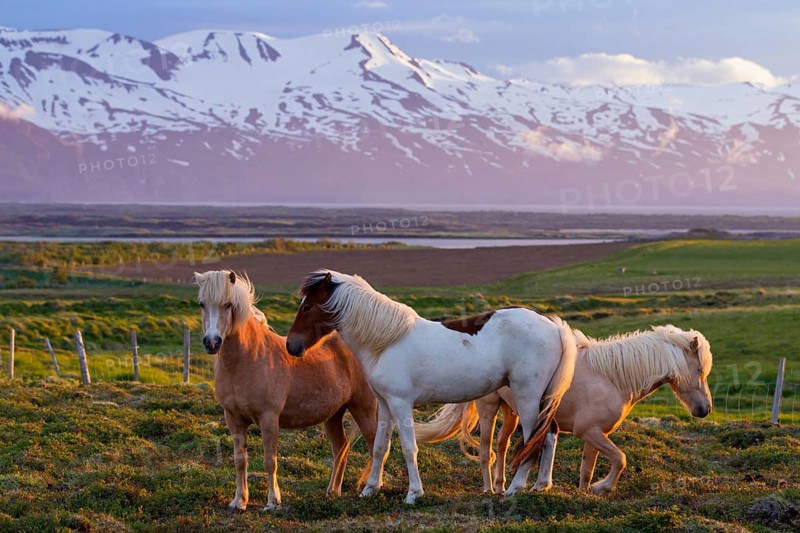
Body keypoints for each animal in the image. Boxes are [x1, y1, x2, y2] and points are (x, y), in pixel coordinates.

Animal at [194, 270, 378, 511]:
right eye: (202, 304)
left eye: (227, 304)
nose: (212, 342)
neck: (247, 360)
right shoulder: (233, 419)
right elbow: (240, 460)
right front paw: (239, 501)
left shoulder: (269, 419)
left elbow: (269, 461)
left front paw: (273, 502)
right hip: (333, 415)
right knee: (341, 447)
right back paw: (332, 491)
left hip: (363, 408)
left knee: (376, 446)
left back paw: (372, 489)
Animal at [285, 270, 577, 504]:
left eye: (308, 306)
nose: (292, 346)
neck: (387, 341)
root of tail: (554, 326)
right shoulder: (385, 404)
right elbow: (380, 447)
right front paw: (370, 489)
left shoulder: (401, 403)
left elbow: (408, 447)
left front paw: (413, 494)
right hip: (537, 399)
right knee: (550, 433)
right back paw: (541, 486)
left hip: (527, 397)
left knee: (532, 438)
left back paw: (515, 488)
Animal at [415, 325, 714, 495]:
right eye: (700, 370)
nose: (705, 409)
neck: (613, 378)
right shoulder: (588, 431)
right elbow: (621, 458)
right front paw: (603, 487)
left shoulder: (596, 435)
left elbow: (587, 469)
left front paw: (585, 493)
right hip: (489, 408)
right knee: (486, 448)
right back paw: (489, 489)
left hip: (513, 412)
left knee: (502, 445)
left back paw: (502, 486)